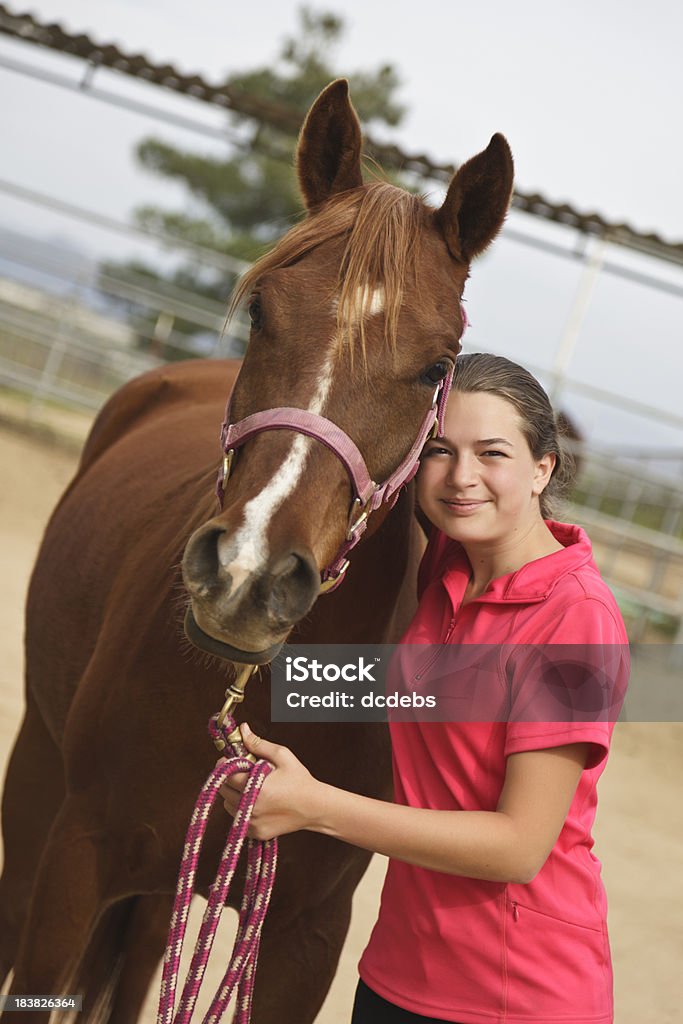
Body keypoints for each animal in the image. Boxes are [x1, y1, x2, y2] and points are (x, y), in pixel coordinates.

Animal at [0, 81, 511, 1024]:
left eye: (437, 366)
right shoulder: (74, 864)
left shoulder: (305, 938)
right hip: (40, 780)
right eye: (264, 310)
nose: (246, 574)